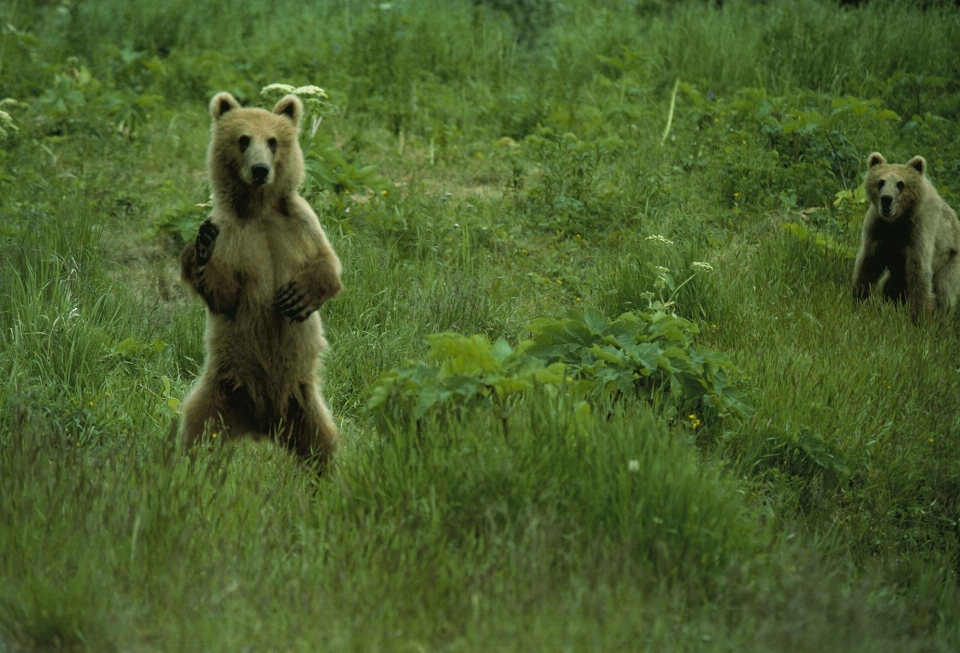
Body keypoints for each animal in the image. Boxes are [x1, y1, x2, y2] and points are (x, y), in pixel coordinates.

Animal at [178, 91, 344, 466]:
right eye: (243, 139)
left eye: (273, 141)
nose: (260, 169)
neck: (260, 210)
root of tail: (262, 424)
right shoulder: (233, 235)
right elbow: (225, 293)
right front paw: (201, 248)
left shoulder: (299, 223)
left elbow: (328, 264)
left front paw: (297, 296)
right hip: (221, 388)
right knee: (195, 431)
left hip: (304, 399)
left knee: (322, 442)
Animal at [856, 150, 960, 318]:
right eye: (881, 182)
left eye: (900, 184)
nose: (886, 199)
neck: (897, 220)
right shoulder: (878, 227)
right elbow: (869, 261)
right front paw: (859, 297)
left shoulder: (919, 229)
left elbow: (919, 270)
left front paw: (920, 316)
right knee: (890, 286)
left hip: (949, 261)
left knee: (943, 292)